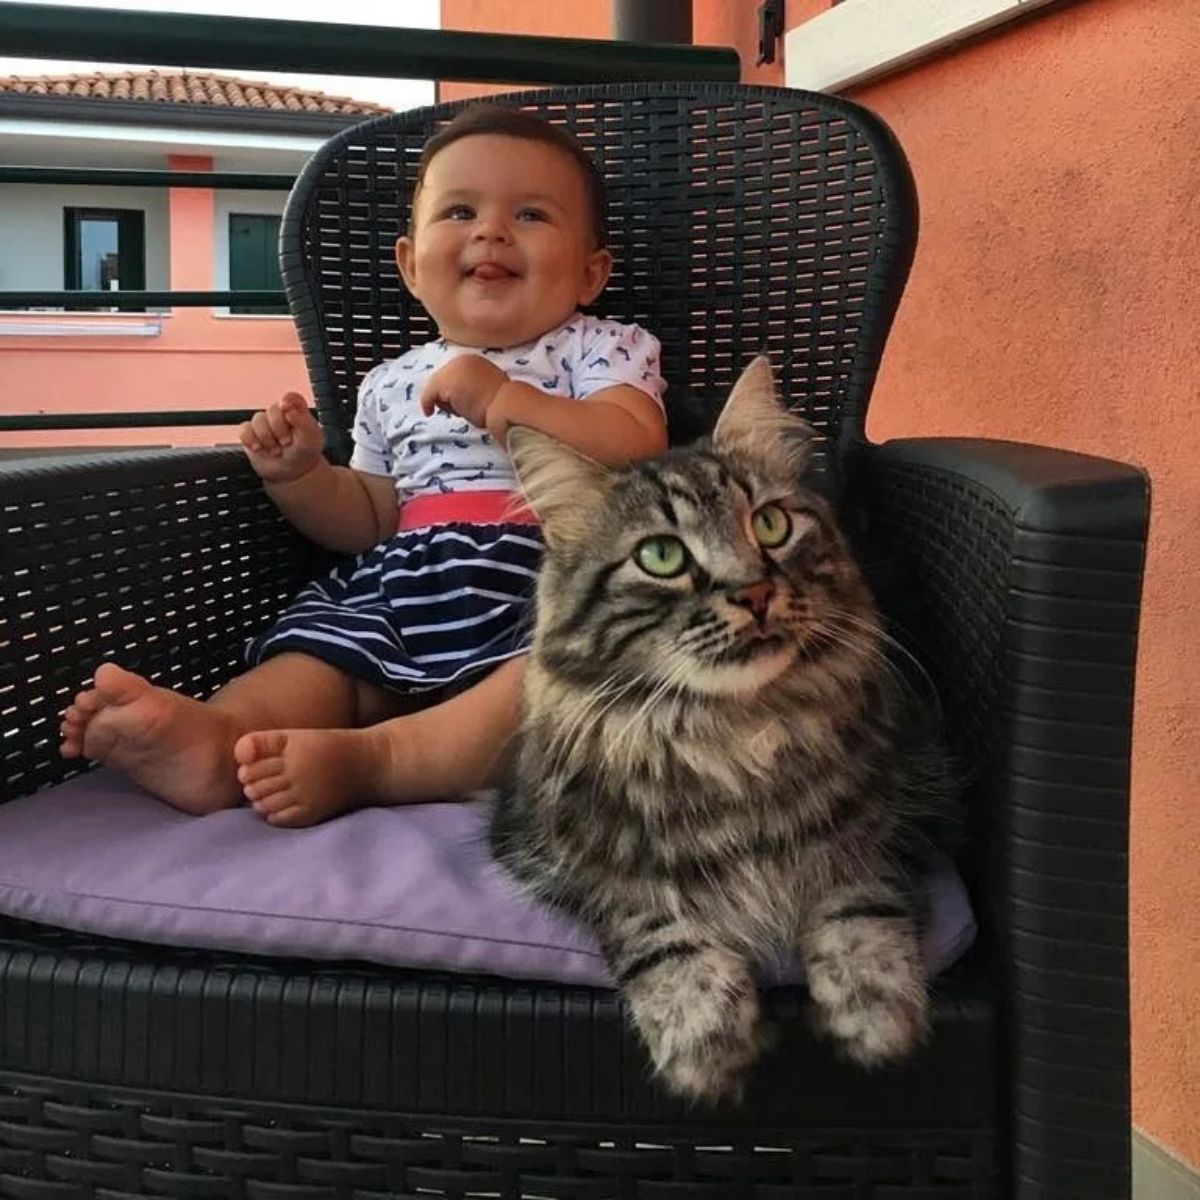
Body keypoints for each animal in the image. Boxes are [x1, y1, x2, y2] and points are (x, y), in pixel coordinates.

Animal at [487, 355, 945, 1104]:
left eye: (770, 525)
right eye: (662, 557)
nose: (753, 592)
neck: (733, 732)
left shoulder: (908, 805)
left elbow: (859, 897)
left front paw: (874, 1008)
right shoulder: (551, 852)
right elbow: (651, 919)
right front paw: (703, 1027)